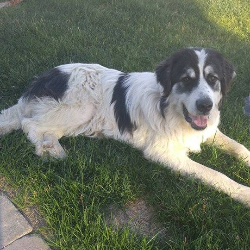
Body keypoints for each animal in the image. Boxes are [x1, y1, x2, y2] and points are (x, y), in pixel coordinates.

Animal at [0, 47, 250, 206]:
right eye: (186, 79)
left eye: (213, 78)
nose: (206, 106)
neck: (169, 107)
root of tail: (42, 79)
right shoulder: (163, 153)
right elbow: (215, 174)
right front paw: (244, 194)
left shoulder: (209, 132)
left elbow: (240, 148)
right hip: (81, 109)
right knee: (29, 124)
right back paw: (50, 150)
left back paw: (52, 147)